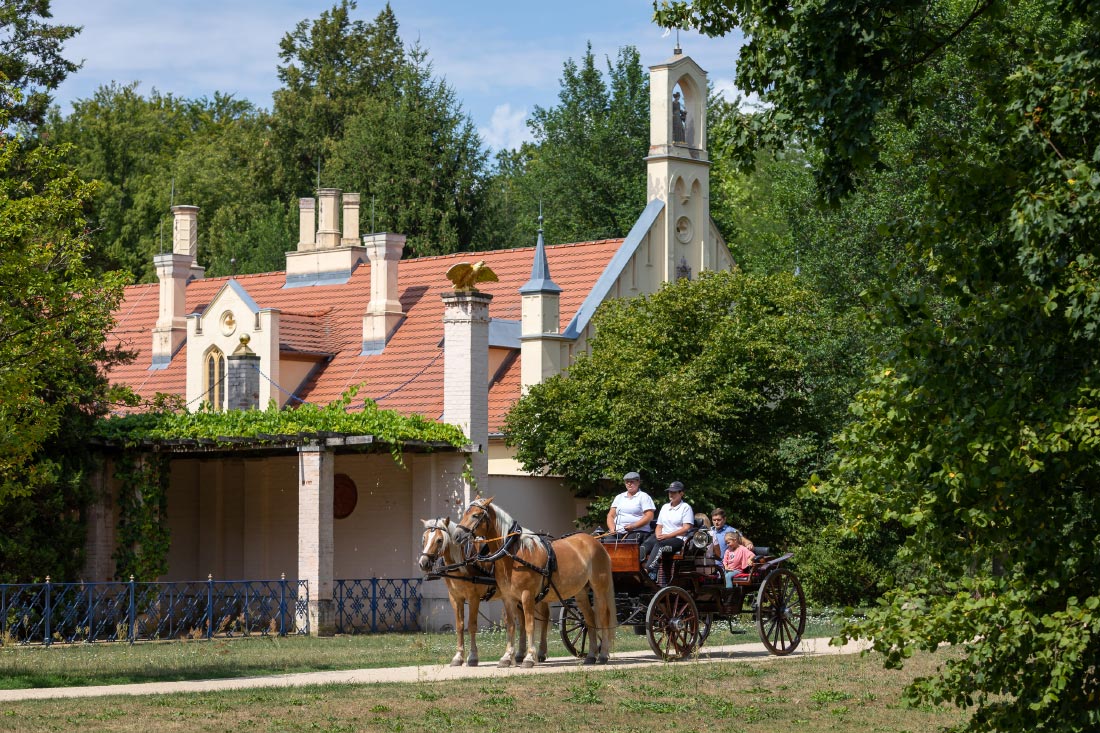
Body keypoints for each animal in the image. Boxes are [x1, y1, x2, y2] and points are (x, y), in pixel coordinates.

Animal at [415, 517, 545, 664]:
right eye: (424, 538)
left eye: (439, 540)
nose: (423, 563)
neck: (463, 563)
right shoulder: (455, 598)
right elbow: (459, 626)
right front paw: (458, 656)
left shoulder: (474, 598)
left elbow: (471, 625)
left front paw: (472, 656)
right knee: (522, 623)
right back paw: (520, 654)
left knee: (543, 619)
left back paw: (540, 653)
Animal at [451, 493, 616, 664]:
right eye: (464, 513)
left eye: (475, 515)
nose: (456, 536)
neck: (514, 554)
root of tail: (595, 541)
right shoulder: (508, 597)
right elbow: (512, 626)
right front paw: (507, 656)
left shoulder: (527, 595)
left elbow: (530, 625)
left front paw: (529, 657)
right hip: (581, 592)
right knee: (589, 620)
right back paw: (591, 655)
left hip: (599, 588)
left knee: (603, 617)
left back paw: (603, 654)